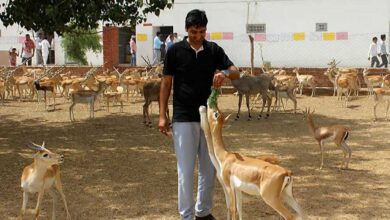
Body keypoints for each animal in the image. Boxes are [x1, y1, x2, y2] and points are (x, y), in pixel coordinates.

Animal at [200, 89, 306, 220]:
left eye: (215, 111)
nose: (209, 100)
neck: (225, 156)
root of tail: (287, 173)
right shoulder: (238, 189)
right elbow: (239, 210)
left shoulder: (229, 187)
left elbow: (233, 209)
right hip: (287, 195)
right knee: (302, 212)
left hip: (271, 199)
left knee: (290, 216)